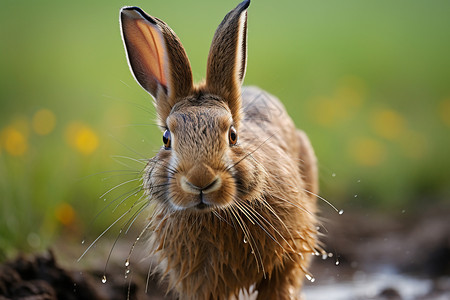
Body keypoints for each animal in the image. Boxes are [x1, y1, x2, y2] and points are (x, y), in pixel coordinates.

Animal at [120, 1, 320, 298]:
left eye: (233, 136)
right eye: (166, 139)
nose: (200, 180)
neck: (214, 214)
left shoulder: (288, 261)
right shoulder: (201, 283)